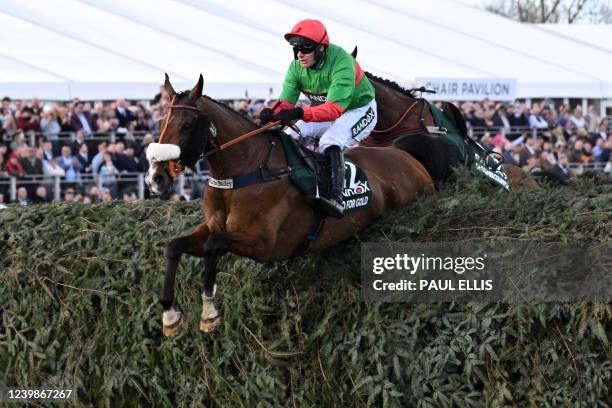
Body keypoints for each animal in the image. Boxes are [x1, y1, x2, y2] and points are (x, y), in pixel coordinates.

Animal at [147, 75, 436, 336]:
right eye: (162, 121)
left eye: (187, 124)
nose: (155, 178)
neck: (244, 171)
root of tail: (408, 157)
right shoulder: (212, 226)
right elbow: (175, 246)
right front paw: (170, 316)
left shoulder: (266, 244)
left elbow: (213, 245)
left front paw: (209, 312)